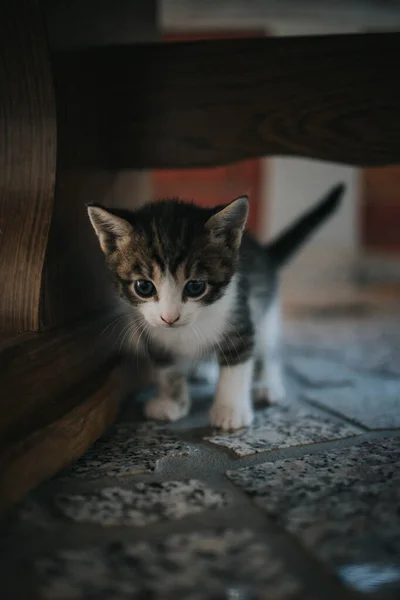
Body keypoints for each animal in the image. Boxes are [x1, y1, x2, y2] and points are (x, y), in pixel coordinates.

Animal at [88, 185, 344, 428]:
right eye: (143, 286)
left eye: (195, 286)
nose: (169, 318)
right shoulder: (152, 333)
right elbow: (167, 369)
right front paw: (171, 402)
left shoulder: (239, 316)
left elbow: (236, 367)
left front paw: (231, 412)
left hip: (266, 310)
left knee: (268, 348)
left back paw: (267, 384)